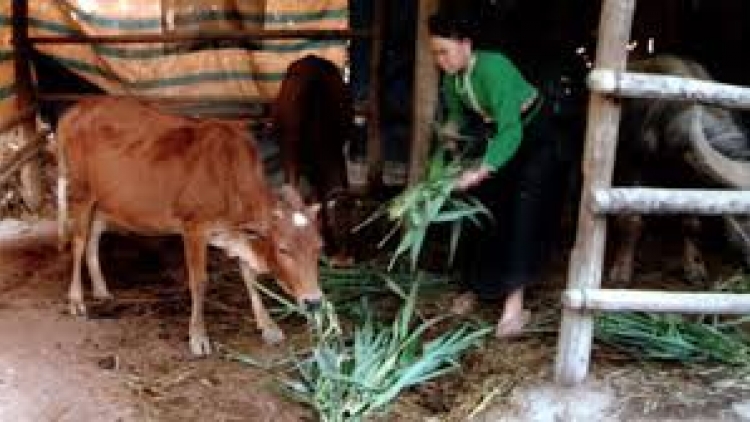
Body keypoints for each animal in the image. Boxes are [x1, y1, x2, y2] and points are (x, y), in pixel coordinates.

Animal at [53, 99, 324, 356]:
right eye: (283, 249)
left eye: (319, 248)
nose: (314, 302)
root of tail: (75, 110)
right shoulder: (194, 227)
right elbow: (199, 281)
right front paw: (198, 337)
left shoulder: (240, 235)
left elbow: (250, 278)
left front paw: (268, 328)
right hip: (80, 191)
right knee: (78, 241)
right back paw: (76, 300)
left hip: (105, 200)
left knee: (94, 235)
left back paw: (100, 289)